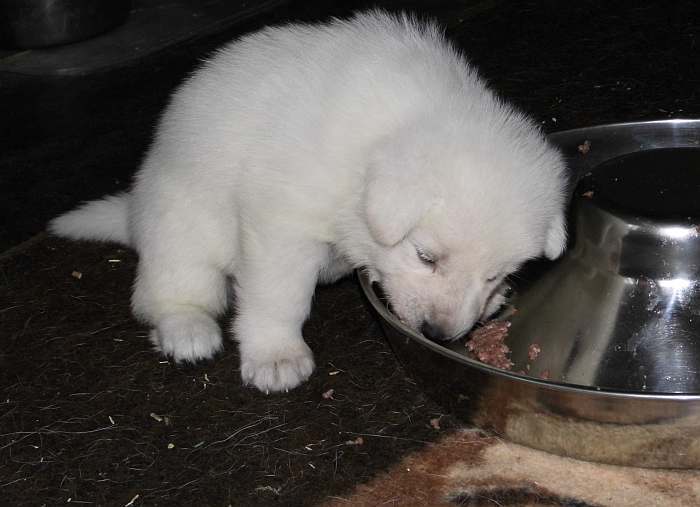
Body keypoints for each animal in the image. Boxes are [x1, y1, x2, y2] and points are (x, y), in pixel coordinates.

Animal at [49, 10, 568, 392]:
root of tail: (133, 212)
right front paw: (276, 354)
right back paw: (187, 330)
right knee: (167, 292)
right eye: (425, 256)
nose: (438, 335)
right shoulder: (281, 226)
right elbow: (280, 296)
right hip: (181, 225)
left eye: (494, 275)